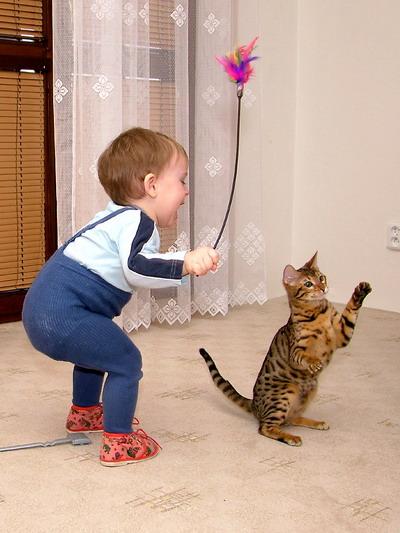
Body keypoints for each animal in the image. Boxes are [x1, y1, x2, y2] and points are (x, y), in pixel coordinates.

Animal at [199, 252, 371, 446]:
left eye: (321, 277)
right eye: (308, 284)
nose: (323, 288)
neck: (318, 311)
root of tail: (254, 405)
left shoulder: (342, 335)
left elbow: (350, 312)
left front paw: (360, 292)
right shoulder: (295, 350)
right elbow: (304, 356)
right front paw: (314, 362)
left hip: (310, 391)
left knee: (291, 419)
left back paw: (316, 423)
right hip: (286, 391)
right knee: (266, 428)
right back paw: (291, 437)